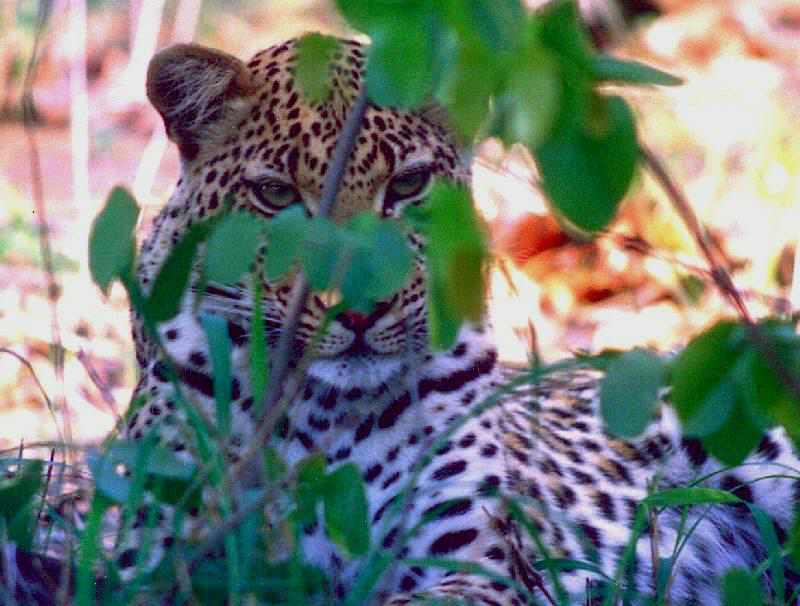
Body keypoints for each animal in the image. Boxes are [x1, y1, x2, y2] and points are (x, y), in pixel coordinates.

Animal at [114, 39, 800, 606]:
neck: (323, 412)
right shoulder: (147, 553)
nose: (360, 308)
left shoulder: (476, 558)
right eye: (276, 195)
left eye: (408, 185)